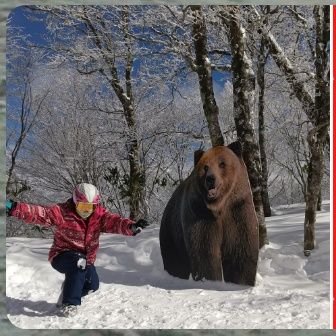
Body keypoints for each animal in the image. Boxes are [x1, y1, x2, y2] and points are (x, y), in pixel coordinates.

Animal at [159, 142, 258, 286]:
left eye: (222, 163)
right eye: (205, 166)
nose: (210, 178)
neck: (219, 206)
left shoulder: (238, 210)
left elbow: (240, 252)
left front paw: (241, 282)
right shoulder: (200, 213)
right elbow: (205, 251)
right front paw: (210, 280)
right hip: (171, 231)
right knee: (175, 260)